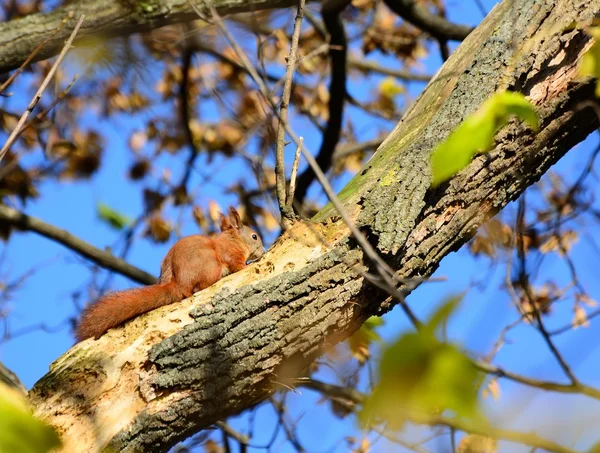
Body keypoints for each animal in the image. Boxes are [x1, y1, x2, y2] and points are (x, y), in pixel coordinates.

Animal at [74, 207, 262, 340]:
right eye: (254, 236)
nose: (262, 250)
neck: (233, 240)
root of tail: (178, 284)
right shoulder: (230, 254)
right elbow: (236, 265)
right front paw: (248, 265)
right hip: (210, 266)